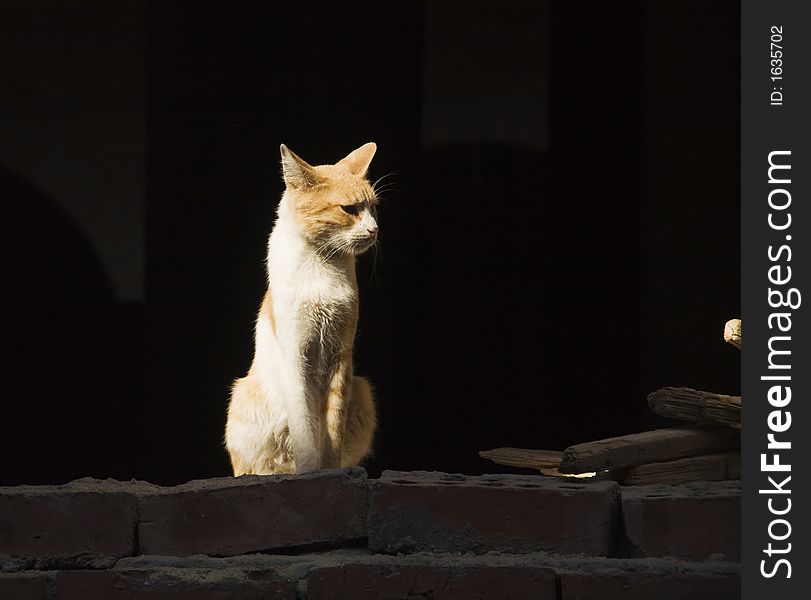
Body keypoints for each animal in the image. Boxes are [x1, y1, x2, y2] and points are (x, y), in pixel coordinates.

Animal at [225, 143, 380, 476]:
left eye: (373, 208)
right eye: (349, 209)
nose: (374, 230)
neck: (323, 265)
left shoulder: (340, 358)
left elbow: (331, 430)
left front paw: (331, 472)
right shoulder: (297, 357)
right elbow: (306, 430)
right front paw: (309, 473)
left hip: (362, 390)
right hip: (243, 399)